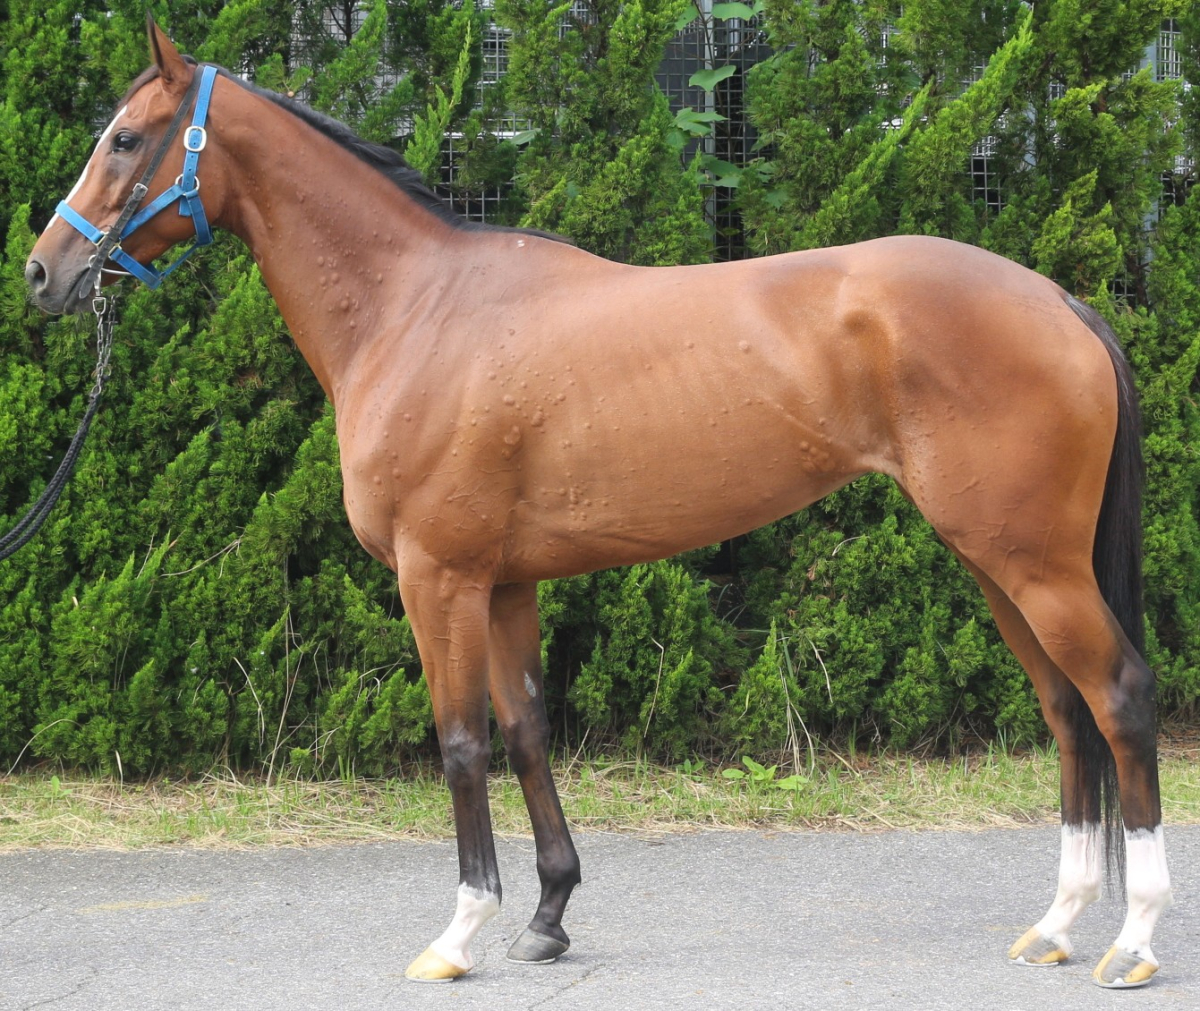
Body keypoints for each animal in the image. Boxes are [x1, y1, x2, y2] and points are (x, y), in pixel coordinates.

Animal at [25, 17, 1172, 988]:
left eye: (126, 139)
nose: (43, 271)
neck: (418, 310)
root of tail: (1060, 301)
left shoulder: (438, 578)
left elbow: (460, 742)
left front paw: (459, 933)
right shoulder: (503, 584)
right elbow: (528, 729)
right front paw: (546, 917)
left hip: (1034, 562)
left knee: (1118, 697)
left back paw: (1134, 942)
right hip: (994, 562)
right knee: (1064, 709)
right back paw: (1057, 925)